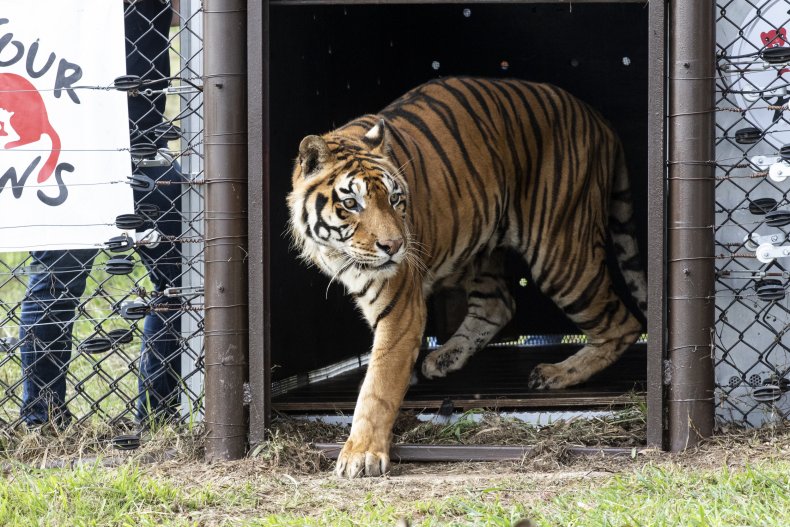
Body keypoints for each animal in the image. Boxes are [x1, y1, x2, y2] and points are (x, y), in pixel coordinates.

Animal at [288, 75, 648, 478]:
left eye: (395, 200)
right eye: (351, 204)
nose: (395, 246)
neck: (337, 251)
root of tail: (599, 120)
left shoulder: (401, 310)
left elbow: (377, 387)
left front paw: (361, 454)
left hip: (563, 252)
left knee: (624, 324)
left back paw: (556, 373)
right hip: (482, 246)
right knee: (498, 306)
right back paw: (444, 358)